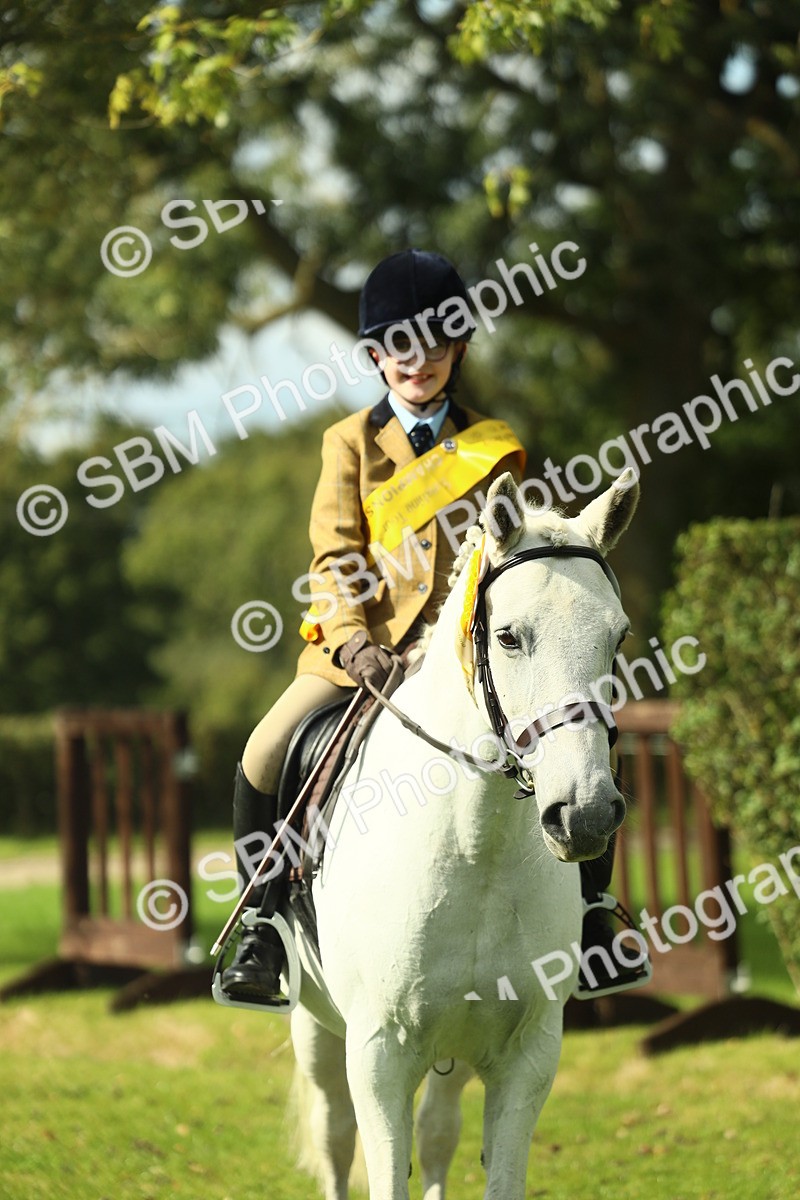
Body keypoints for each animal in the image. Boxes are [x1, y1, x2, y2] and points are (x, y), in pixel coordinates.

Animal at [285, 467, 639, 1199]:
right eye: (508, 637)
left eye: (617, 638)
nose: (586, 813)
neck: (477, 847)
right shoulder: (378, 1055)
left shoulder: (528, 1055)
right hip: (314, 1024)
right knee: (333, 1135)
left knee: (438, 1132)